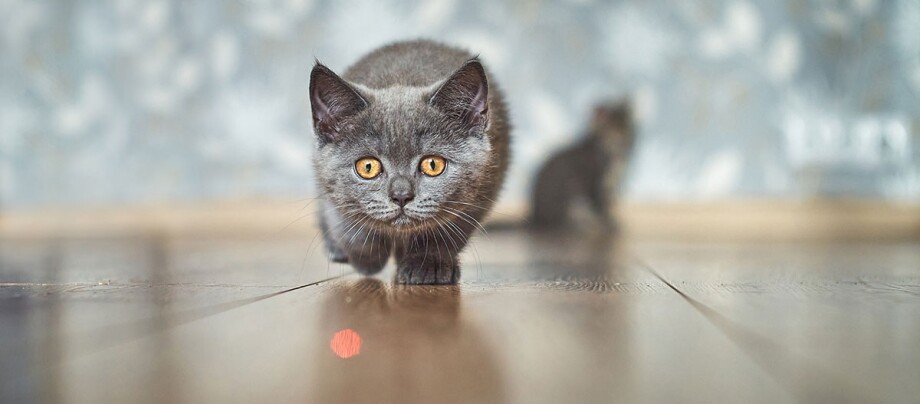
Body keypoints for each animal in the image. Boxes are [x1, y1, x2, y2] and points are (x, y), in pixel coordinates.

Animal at [310, 38, 510, 284]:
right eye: (367, 167)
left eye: (433, 165)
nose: (401, 195)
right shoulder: (327, 183)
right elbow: (347, 224)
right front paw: (368, 258)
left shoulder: (482, 189)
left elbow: (446, 231)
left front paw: (426, 265)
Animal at [528, 100, 636, 232]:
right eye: (612, 133)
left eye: (627, 130)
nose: (624, 142)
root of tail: (536, 217)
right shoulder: (594, 183)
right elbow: (601, 207)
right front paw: (607, 224)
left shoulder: (609, 185)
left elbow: (608, 204)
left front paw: (611, 221)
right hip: (571, 196)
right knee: (565, 221)